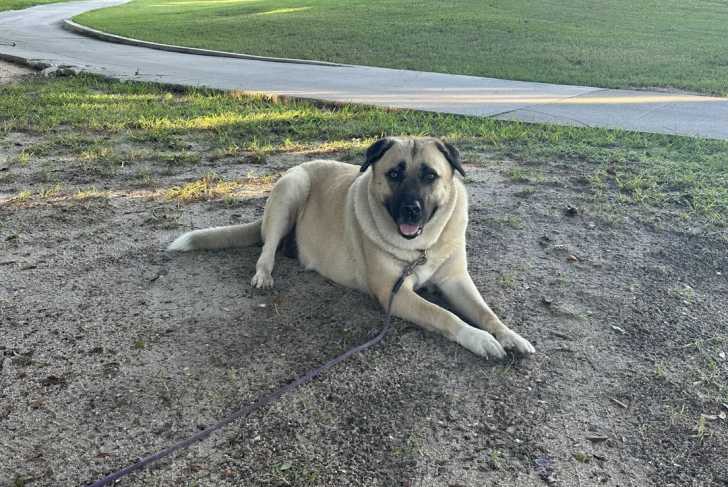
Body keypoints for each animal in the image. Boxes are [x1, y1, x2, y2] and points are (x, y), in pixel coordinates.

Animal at [168, 137, 534, 359]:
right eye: (395, 173)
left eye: (430, 175)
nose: (411, 210)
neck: (421, 249)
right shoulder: (394, 294)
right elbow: (443, 315)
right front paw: (479, 339)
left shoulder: (456, 280)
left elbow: (486, 312)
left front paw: (509, 335)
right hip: (291, 189)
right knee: (266, 250)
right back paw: (264, 273)